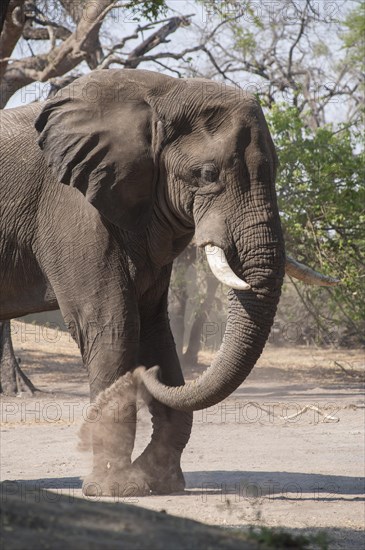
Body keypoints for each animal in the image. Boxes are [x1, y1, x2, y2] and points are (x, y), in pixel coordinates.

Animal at [0, 68, 336, 496]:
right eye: (207, 175)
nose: (150, 376)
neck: (162, 94)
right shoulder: (69, 209)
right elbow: (113, 322)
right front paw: (112, 490)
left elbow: (154, 329)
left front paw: (156, 482)